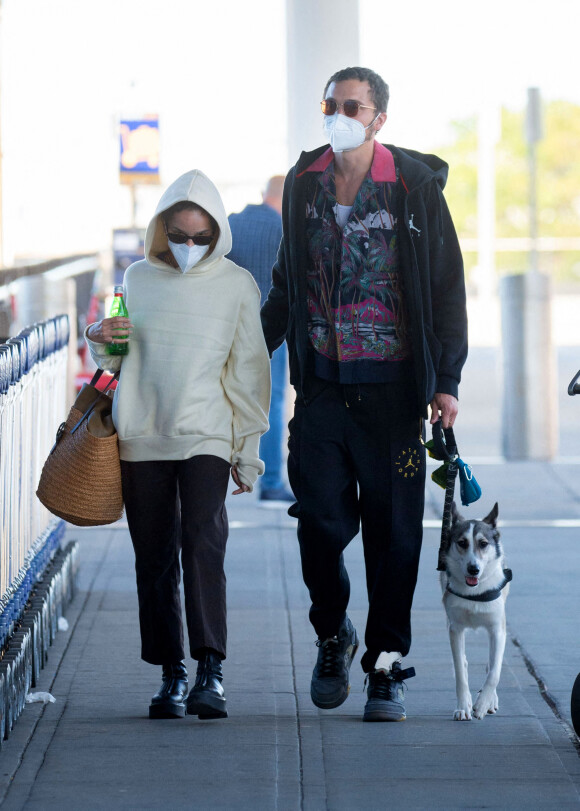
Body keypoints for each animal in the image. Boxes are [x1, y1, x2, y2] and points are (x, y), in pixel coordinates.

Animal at [442, 502, 510, 724]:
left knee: (492, 664)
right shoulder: (455, 629)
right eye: (462, 543)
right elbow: (460, 671)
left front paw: (482, 704)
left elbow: (494, 671)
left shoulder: (498, 629)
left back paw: (490, 701)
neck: (475, 592)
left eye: (483, 544)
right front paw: (464, 707)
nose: (473, 569)